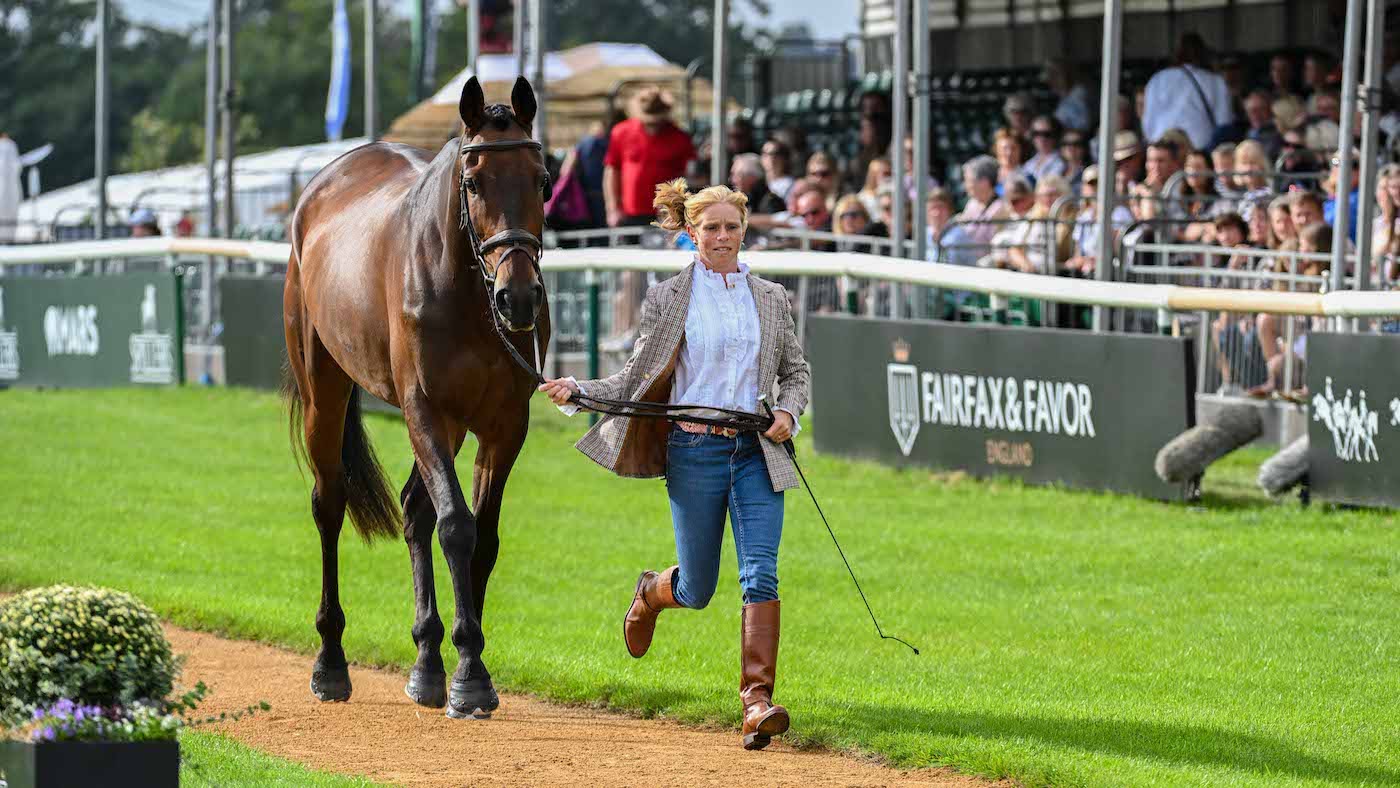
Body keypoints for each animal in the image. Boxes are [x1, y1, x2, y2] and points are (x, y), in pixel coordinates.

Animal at [282, 75, 551, 720]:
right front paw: (470, 674)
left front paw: (463, 667)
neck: (469, 294)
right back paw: (331, 663)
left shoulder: (504, 423)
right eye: (473, 181)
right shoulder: (423, 408)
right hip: (325, 390)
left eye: (541, 178)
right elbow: (456, 525)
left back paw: (426, 664)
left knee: (412, 508)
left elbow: (483, 538)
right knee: (329, 504)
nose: (519, 298)